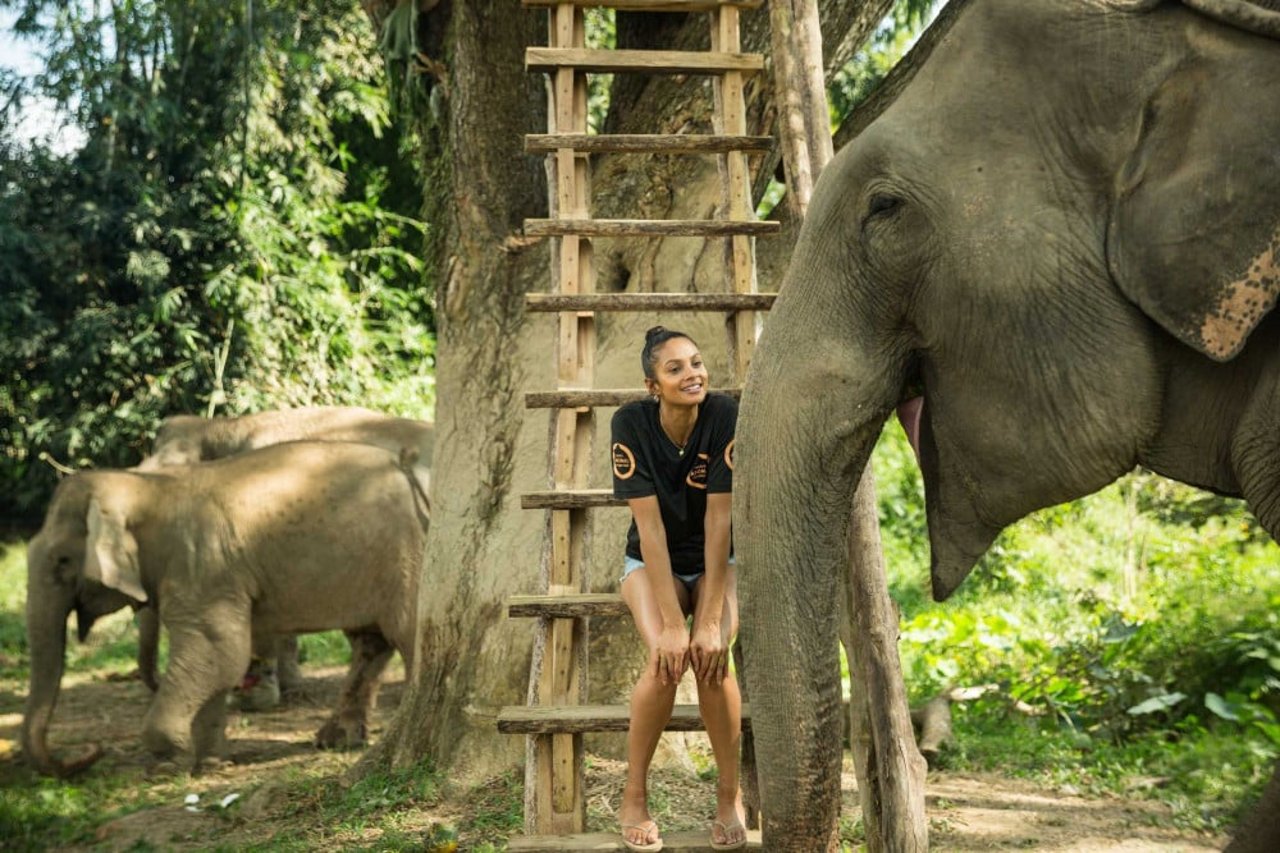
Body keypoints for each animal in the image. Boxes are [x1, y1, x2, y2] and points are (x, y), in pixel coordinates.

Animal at [21, 438, 430, 768]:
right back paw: (336, 741)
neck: (150, 489)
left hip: (405, 557)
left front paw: (167, 761)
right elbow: (218, 659)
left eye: (61, 561)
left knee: (403, 632)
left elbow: (220, 651)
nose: (92, 751)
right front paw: (212, 762)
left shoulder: (205, 568)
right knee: (369, 640)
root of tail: (405, 467)